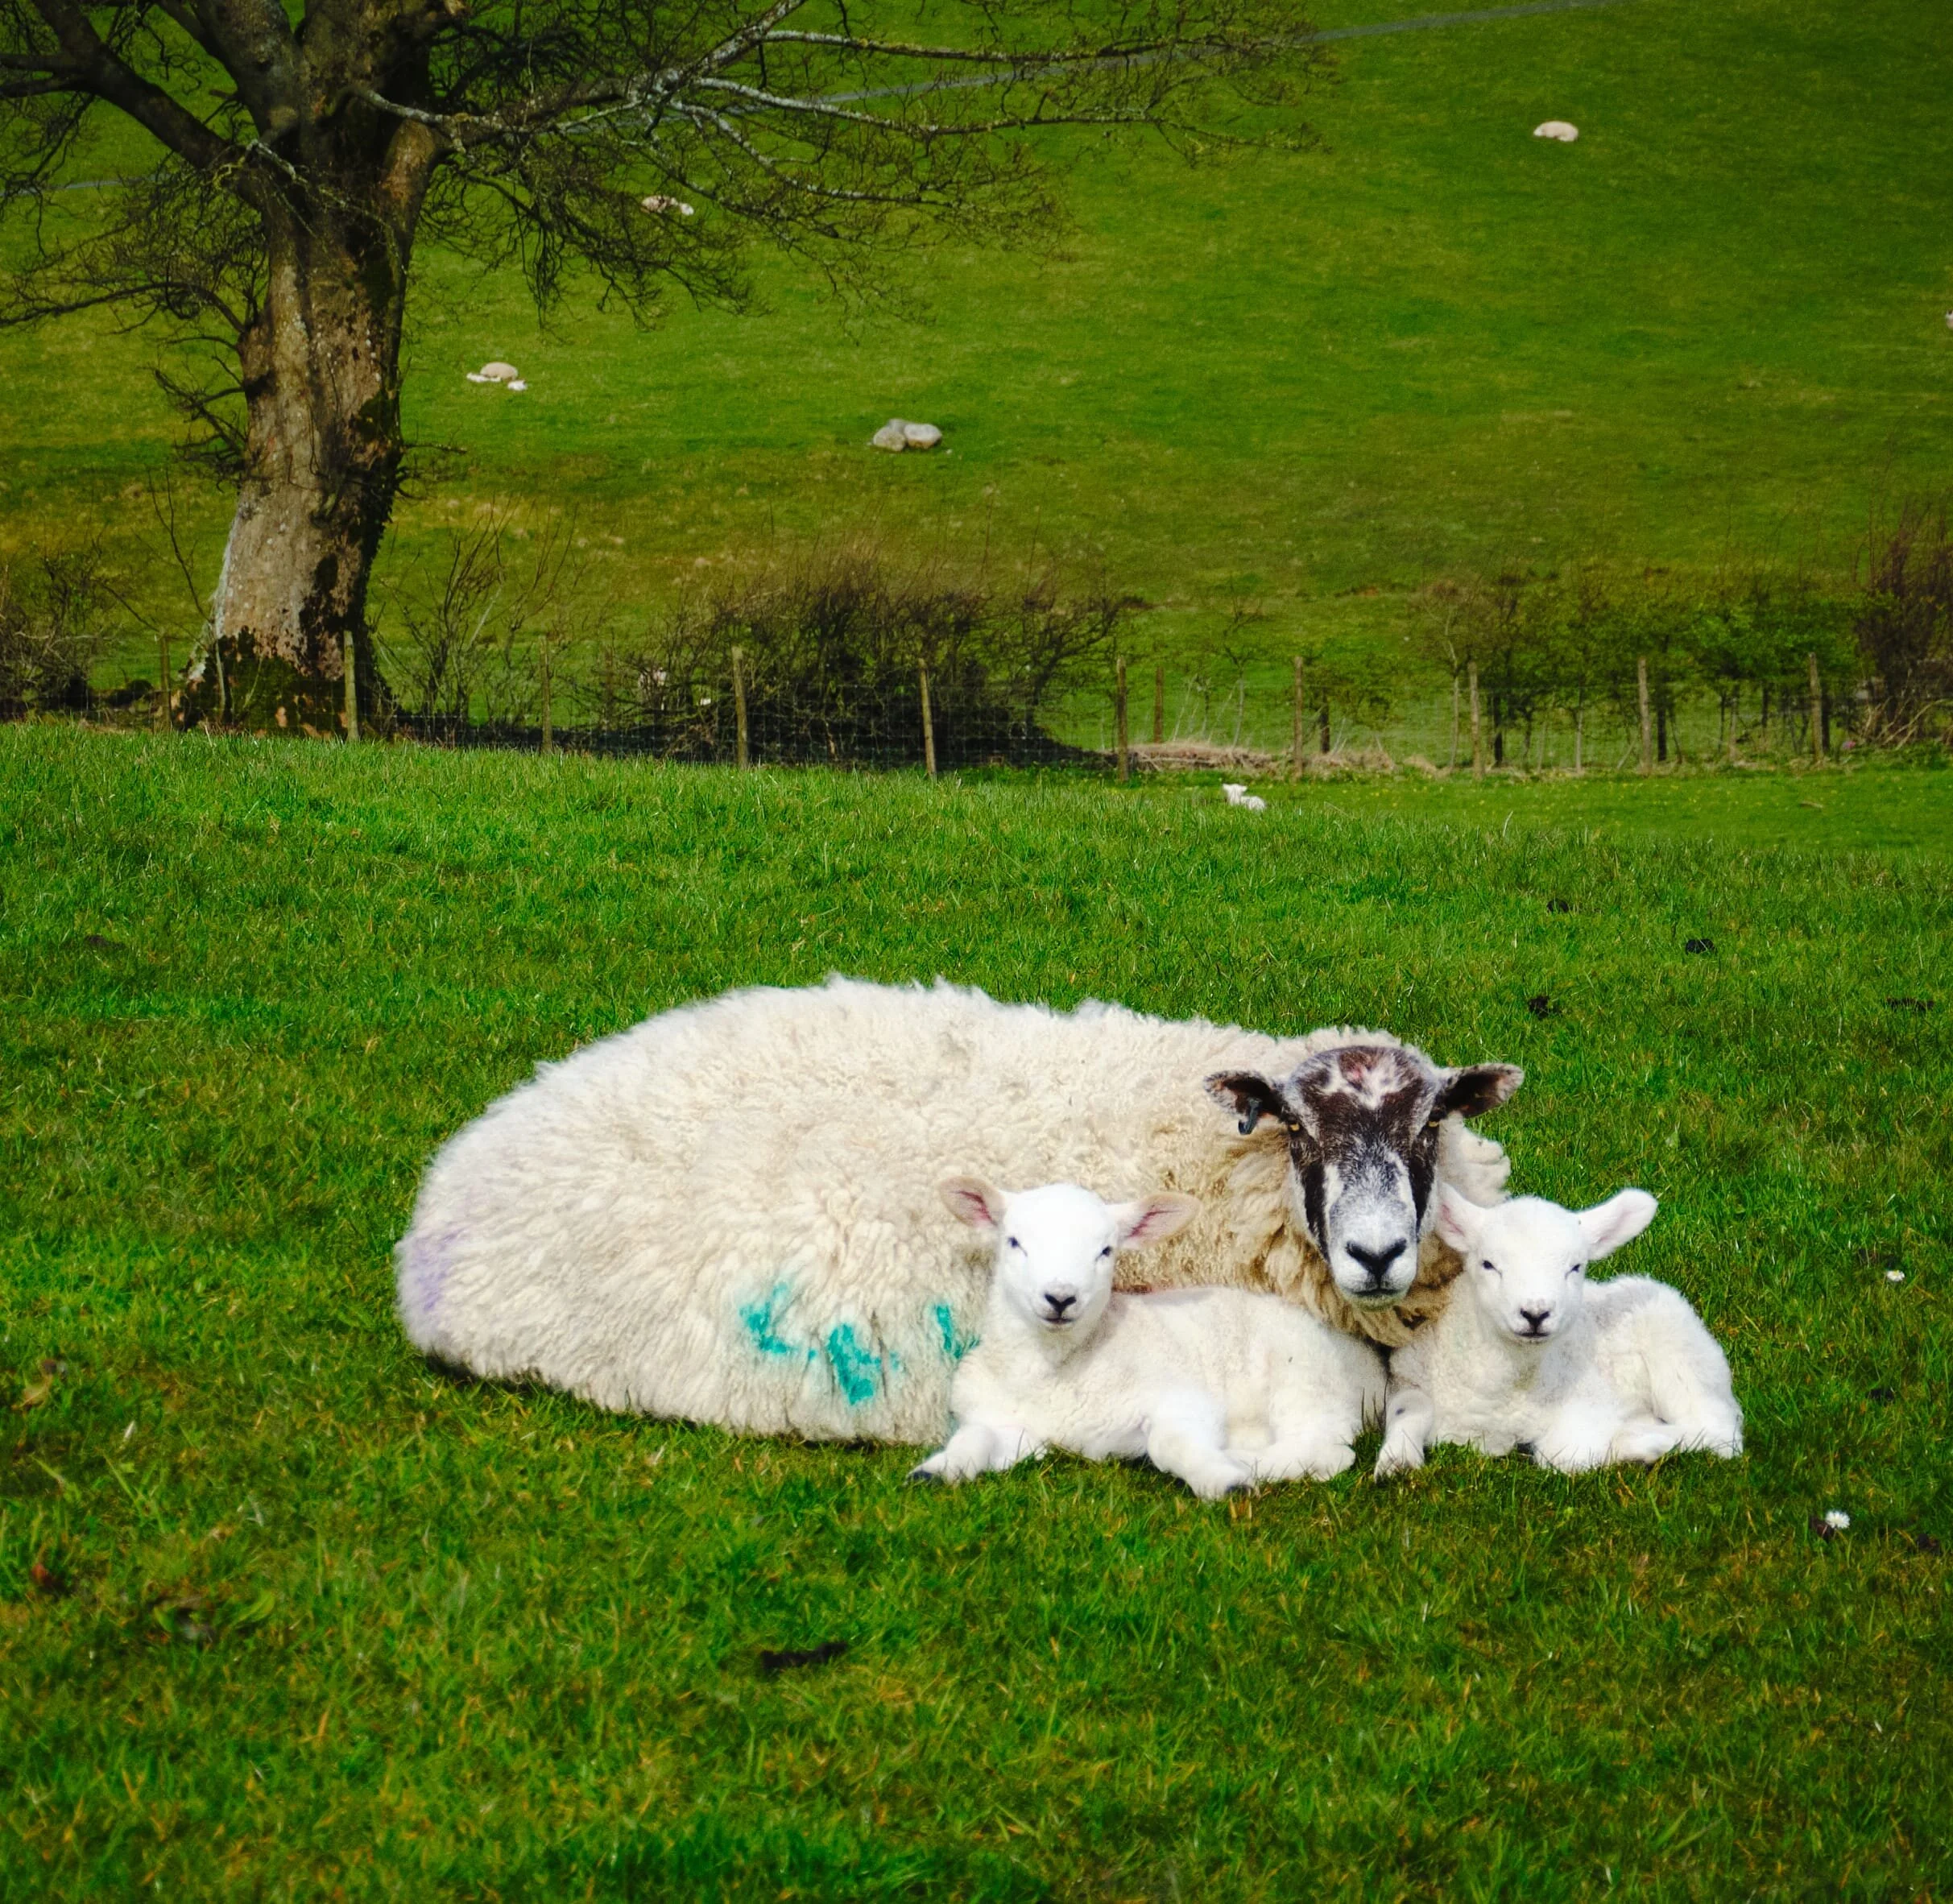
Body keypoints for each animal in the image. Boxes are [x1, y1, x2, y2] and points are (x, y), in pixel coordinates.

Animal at [913, 1179, 1386, 1498]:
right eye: (1014, 1243)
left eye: (1106, 1251)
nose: (1061, 1298)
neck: (1054, 1372)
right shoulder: (1012, 1427)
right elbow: (975, 1437)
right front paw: (938, 1468)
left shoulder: (1183, 1398)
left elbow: (1169, 1442)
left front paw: (1224, 1480)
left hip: (1307, 1378)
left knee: (1329, 1452)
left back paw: (1244, 1462)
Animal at [1373, 1185, 1743, 1478]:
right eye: (1488, 1264)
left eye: (1575, 1267)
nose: (1535, 1313)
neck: (1510, 1391)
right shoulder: (1410, 1380)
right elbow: (1408, 1411)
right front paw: (1396, 1461)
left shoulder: (1591, 1401)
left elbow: (1566, 1454)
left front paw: (1639, 1442)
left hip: (1679, 1359)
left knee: (1718, 1431)